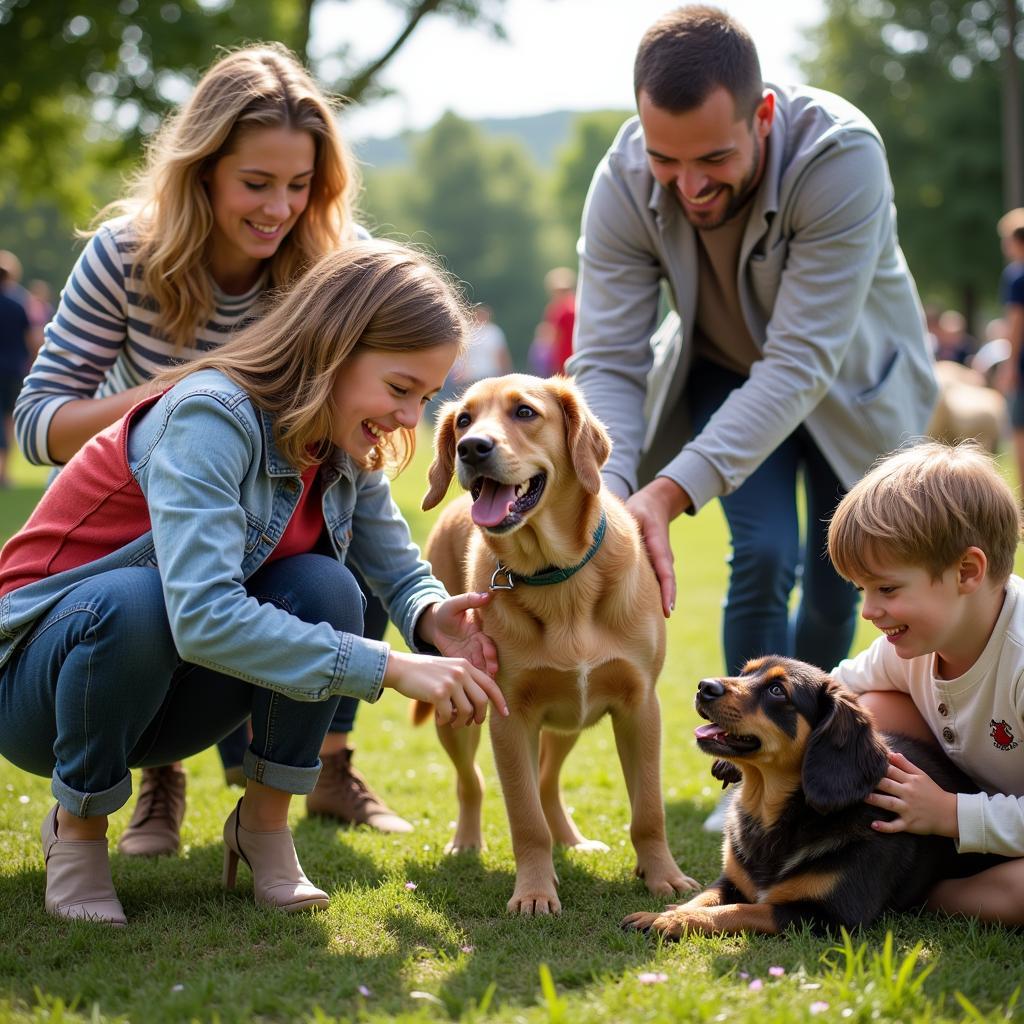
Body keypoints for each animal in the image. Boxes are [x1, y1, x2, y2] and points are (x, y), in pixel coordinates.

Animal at [415, 374, 696, 913]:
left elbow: (649, 810)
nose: (471, 447)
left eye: (525, 412)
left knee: (547, 782)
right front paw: (534, 891)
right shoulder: (509, 717)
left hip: (570, 720)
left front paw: (663, 877)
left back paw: (572, 839)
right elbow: (526, 820)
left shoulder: (640, 708)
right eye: (463, 419)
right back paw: (466, 841)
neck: (558, 577)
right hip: (457, 706)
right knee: (472, 781)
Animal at [618, 655, 995, 937]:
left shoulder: (828, 915)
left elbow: (742, 909)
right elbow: (705, 897)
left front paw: (677, 920)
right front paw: (664, 914)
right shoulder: (728, 880)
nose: (704, 686)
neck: (774, 813)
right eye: (745, 672)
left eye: (776, 690)